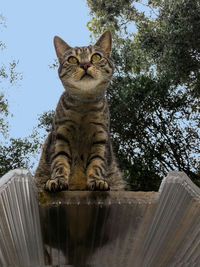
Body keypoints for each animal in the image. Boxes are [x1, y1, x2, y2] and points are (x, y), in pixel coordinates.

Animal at [35, 30, 124, 192]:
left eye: (96, 57)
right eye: (72, 59)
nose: (85, 64)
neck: (84, 106)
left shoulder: (100, 138)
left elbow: (96, 163)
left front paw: (97, 181)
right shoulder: (61, 136)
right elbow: (60, 162)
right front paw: (57, 180)